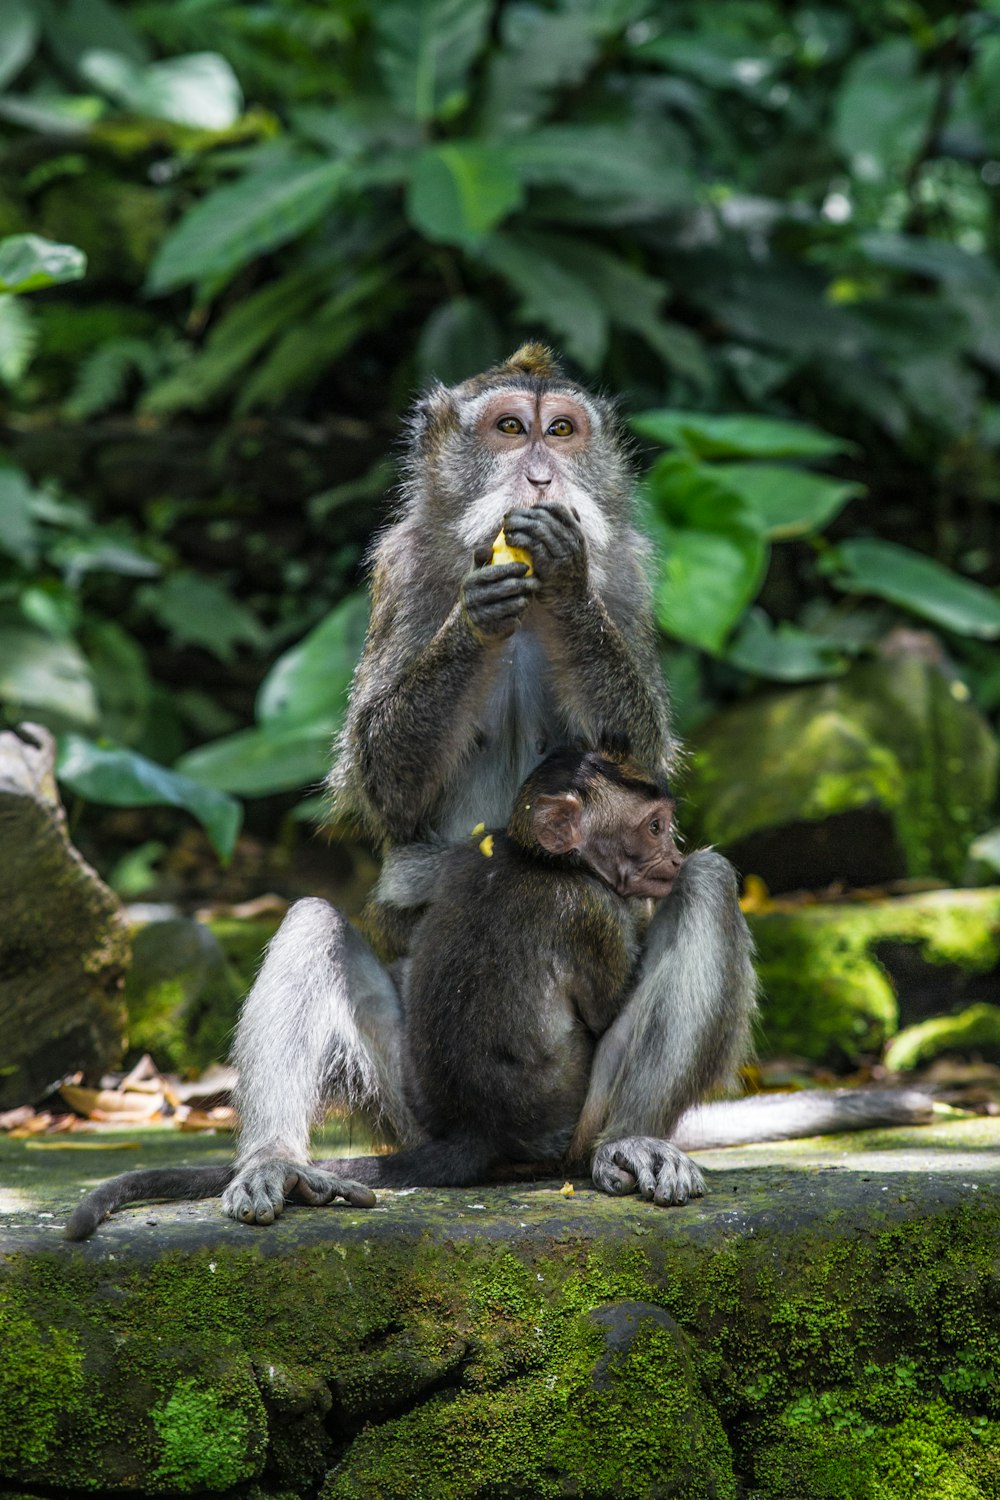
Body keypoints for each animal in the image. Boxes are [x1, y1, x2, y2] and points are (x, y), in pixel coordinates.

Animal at [64, 750, 689, 1242]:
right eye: (655, 827)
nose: (676, 858)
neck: (537, 856)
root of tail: (478, 1129)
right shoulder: (592, 911)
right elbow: (605, 1005)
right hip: (556, 1130)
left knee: (314, 919)